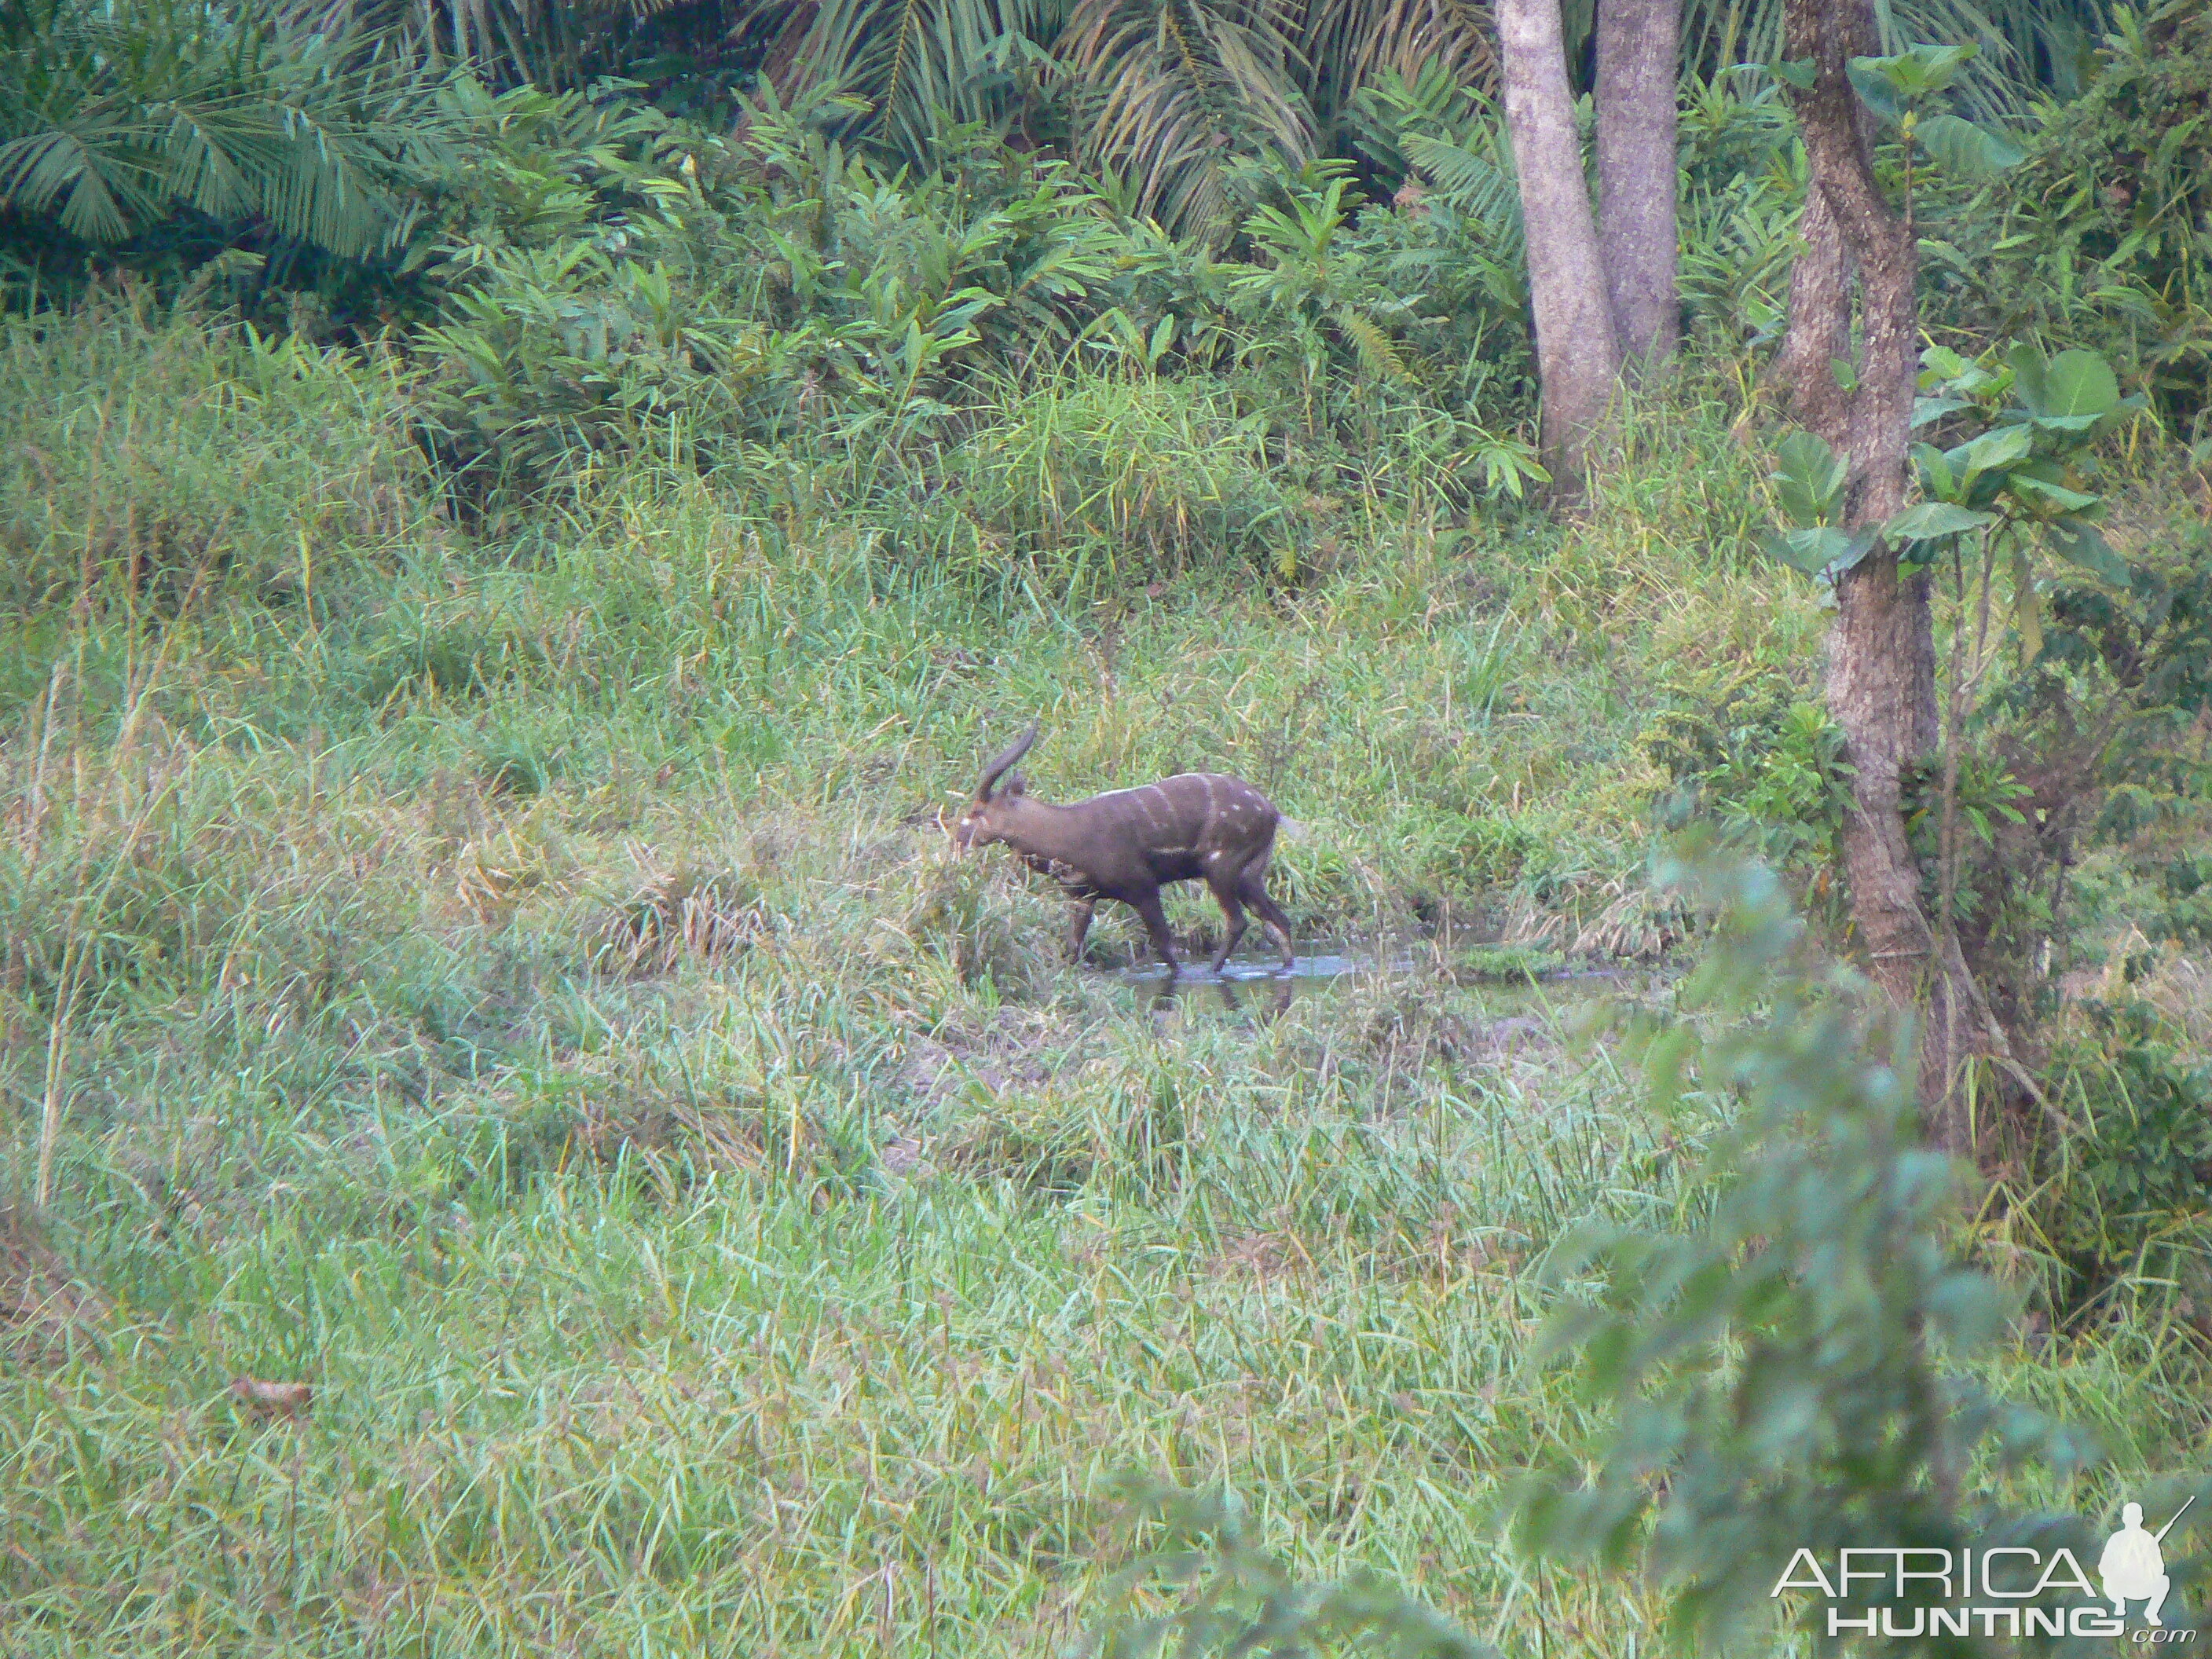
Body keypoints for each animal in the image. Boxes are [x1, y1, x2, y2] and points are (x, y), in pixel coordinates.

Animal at [950, 725, 1291, 982]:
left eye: (977, 811)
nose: (957, 839)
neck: (1064, 830)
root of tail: (1271, 811)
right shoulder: (1082, 897)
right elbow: (1072, 948)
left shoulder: (1143, 889)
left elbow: (1166, 948)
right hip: (1247, 876)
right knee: (1278, 921)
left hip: (1220, 869)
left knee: (1239, 923)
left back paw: (1211, 972)